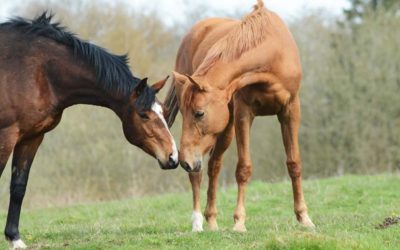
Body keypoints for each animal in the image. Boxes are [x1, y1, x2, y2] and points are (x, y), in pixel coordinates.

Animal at [0, 12, 178, 248]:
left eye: (164, 111)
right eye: (143, 115)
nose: (173, 157)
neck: (38, 71)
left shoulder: (32, 137)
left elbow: (19, 186)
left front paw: (14, 238)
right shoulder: (6, 135)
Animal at [164, 0, 314, 232]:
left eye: (199, 113)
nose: (184, 160)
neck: (272, 54)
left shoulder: (290, 110)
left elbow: (294, 163)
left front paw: (304, 217)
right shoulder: (244, 113)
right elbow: (244, 168)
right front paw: (239, 222)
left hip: (225, 130)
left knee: (213, 166)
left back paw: (212, 221)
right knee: (197, 174)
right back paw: (197, 223)